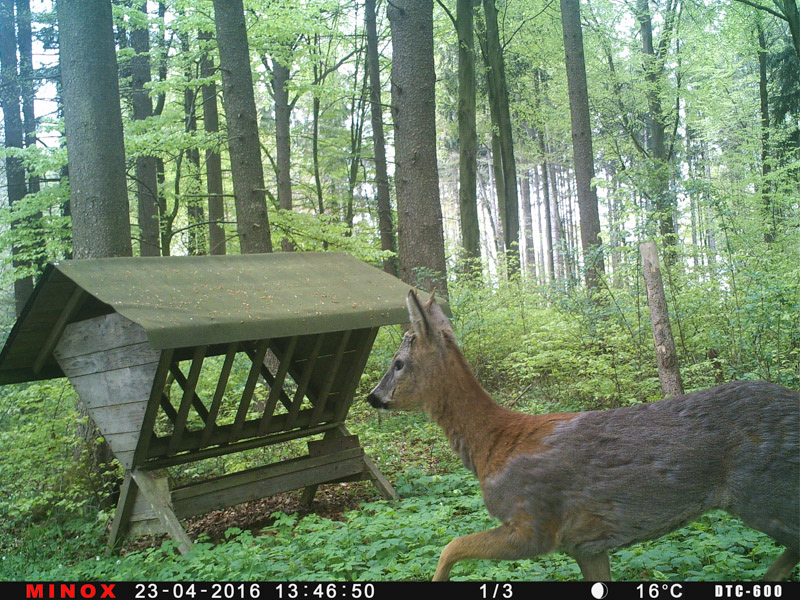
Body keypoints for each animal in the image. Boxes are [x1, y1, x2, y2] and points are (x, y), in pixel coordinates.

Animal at [366, 290, 800, 581]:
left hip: (766, 493)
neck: (491, 445)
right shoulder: (587, 545)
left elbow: (450, 546)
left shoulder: (534, 524)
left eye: (398, 363)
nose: (373, 397)